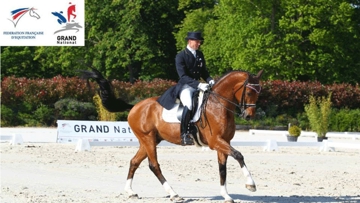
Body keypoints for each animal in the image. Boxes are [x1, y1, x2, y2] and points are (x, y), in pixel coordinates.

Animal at [81, 69, 262, 202]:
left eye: (258, 92)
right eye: (249, 92)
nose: (249, 116)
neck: (218, 106)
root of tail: (134, 107)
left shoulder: (223, 141)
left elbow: (222, 168)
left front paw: (226, 195)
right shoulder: (215, 141)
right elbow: (238, 155)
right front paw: (251, 185)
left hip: (149, 140)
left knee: (134, 162)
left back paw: (130, 192)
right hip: (148, 139)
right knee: (154, 165)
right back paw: (174, 194)